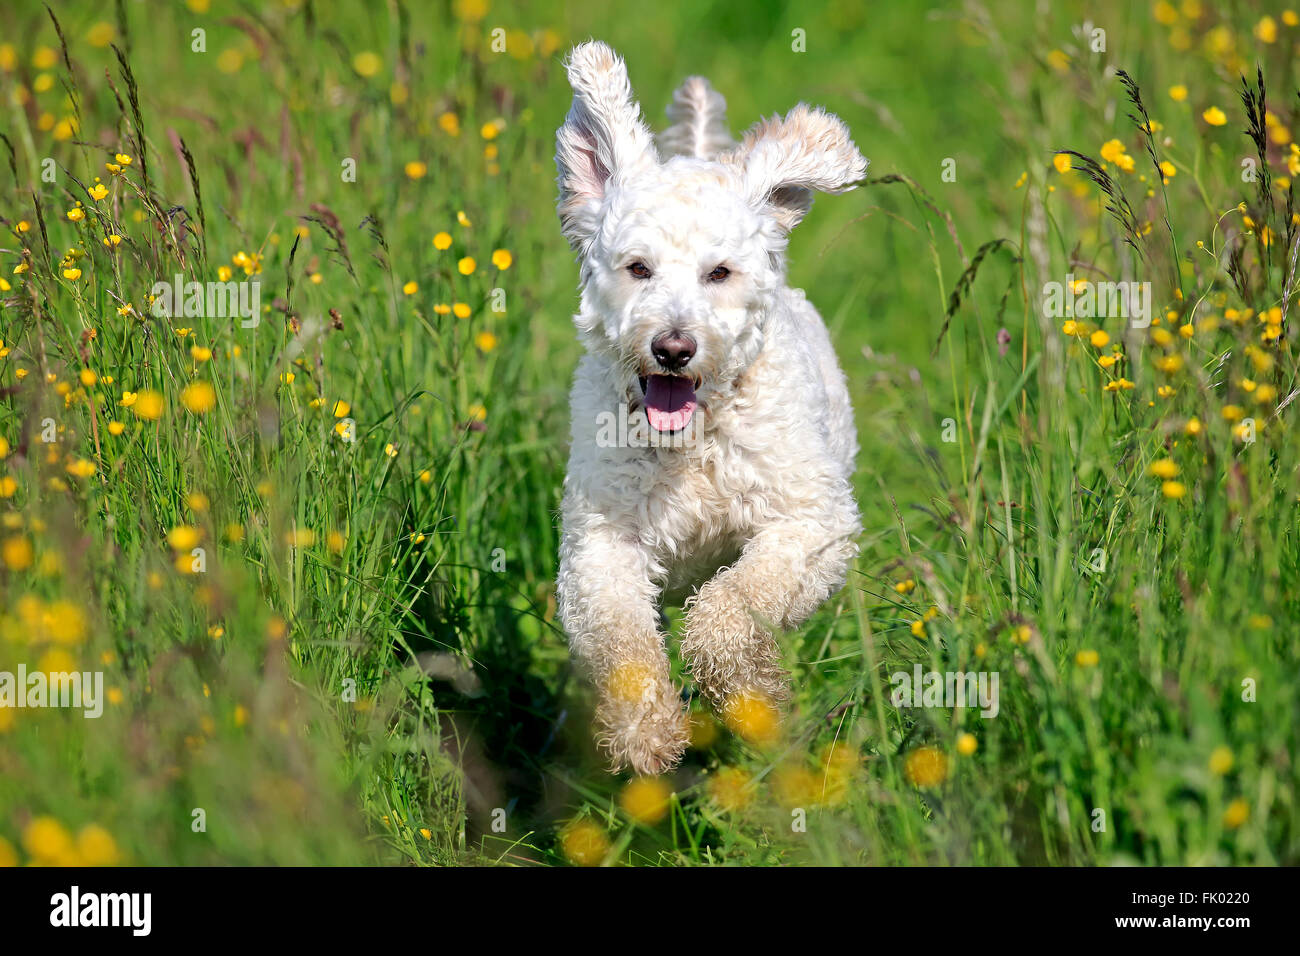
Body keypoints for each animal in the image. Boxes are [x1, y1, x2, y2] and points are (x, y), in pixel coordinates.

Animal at [556, 41, 868, 775]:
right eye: (637, 268)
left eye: (718, 273)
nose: (673, 347)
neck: (692, 444)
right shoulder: (599, 546)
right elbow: (622, 640)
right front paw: (645, 734)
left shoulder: (812, 525)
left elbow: (730, 607)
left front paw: (756, 692)